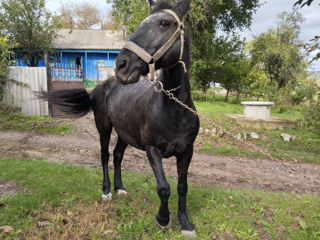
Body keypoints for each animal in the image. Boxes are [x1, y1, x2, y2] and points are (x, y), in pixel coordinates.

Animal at [39, 0, 199, 236]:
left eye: (164, 22)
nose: (121, 65)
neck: (175, 109)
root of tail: (102, 85)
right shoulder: (153, 150)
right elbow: (163, 187)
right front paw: (163, 219)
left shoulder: (187, 152)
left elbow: (182, 186)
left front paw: (185, 223)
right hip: (104, 126)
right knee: (105, 155)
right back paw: (107, 191)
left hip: (124, 132)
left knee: (117, 156)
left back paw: (120, 188)